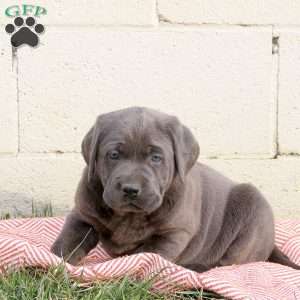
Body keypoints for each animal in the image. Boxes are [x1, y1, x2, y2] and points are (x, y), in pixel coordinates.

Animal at [51, 106, 300, 270]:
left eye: (156, 157)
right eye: (113, 155)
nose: (131, 189)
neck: (129, 216)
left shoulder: (173, 233)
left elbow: (143, 256)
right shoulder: (83, 214)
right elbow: (69, 240)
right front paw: (56, 262)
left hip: (253, 210)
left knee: (228, 262)